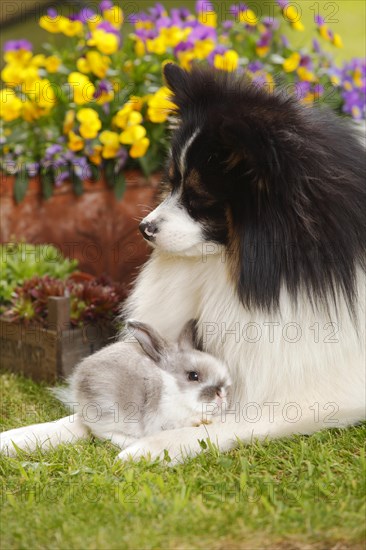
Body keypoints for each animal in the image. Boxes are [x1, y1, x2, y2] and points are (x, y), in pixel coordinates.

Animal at [1, 63, 364, 462]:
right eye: (171, 182)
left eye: (198, 199)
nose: (143, 228)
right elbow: (82, 417)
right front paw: (21, 437)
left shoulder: (314, 396)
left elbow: (223, 425)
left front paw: (149, 448)